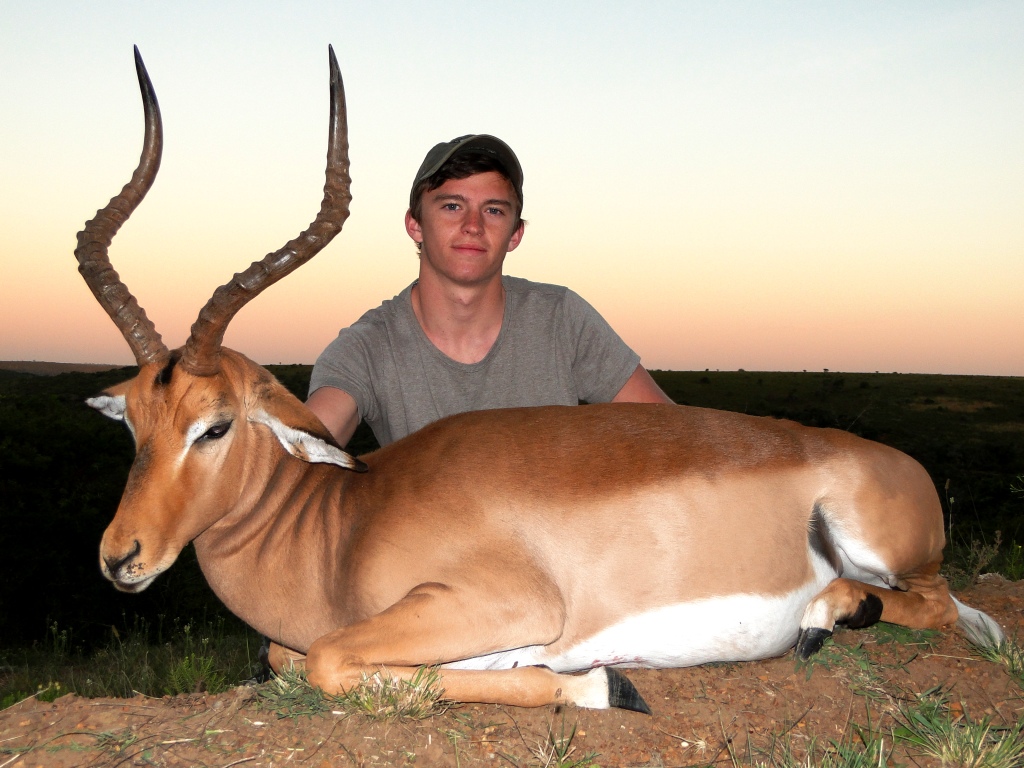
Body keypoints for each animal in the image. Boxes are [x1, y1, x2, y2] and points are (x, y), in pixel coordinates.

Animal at [81, 47, 1004, 714]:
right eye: (133, 423)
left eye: (214, 424)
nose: (121, 558)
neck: (340, 523)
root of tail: (893, 463)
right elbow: (288, 657)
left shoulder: (503, 607)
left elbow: (330, 661)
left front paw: (602, 683)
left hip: (887, 553)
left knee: (943, 608)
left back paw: (819, 621)